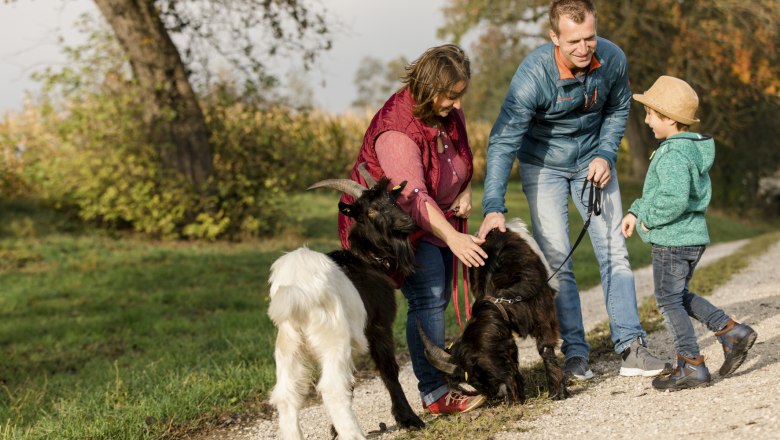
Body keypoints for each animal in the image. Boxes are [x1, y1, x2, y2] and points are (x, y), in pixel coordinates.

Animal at [268, 178, 426, 440]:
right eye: (370, 211)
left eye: (393, 200)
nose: (407, 222)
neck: (366, 259)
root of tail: (298, 290)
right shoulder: (378, 326)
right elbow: (388, 370)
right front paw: (409, 419)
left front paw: (333, 429)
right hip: (333, 338)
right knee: (332, 388)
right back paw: (354, 434)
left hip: (289, 346)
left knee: (287, 395)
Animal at [420, 218, 568, 404]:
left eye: (476, 373)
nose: (494, 395)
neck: (503, 299)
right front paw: (517, 398)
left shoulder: (543, 312)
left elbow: (545, 348)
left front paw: (557, 391)